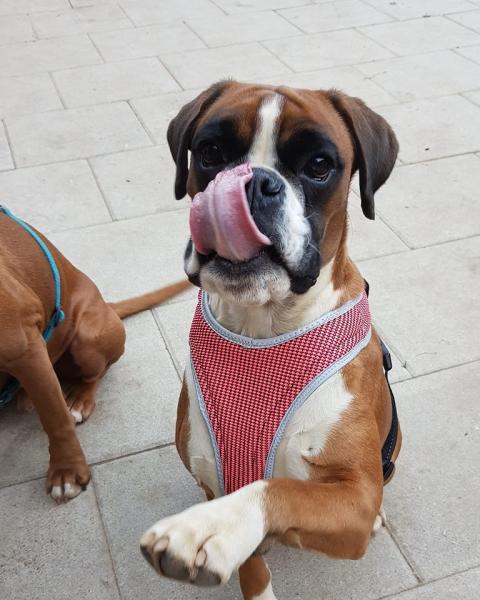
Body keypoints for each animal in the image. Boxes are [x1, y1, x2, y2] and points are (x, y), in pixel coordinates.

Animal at [0, 206, 190, 502]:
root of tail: (107, 305)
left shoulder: (25, 348)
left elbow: (55, 419)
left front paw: (66, 471)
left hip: (86, 341)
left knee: (95, 374)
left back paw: (77, 400)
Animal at [140, 80, 402, 599]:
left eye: (319, 165)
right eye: (210, 153)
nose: (253, 182)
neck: (263, 332)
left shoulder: (356, 500)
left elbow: (276, 489)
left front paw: (209, 527)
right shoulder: (215, 475)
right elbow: (253, 561)